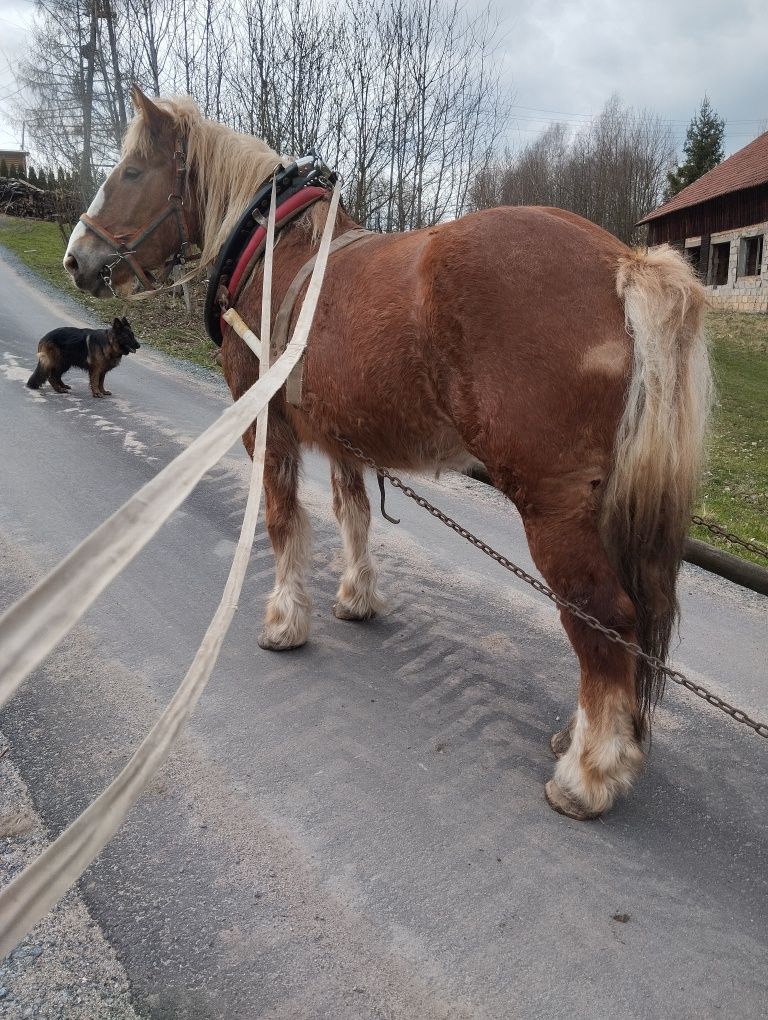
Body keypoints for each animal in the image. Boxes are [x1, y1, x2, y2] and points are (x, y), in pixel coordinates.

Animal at [62, 87, 709, 820]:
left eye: (131, 171)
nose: (77, 258)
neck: (276, 249)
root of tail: (625, 265)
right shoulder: (344, 434)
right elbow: (353, 515)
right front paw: (356, 597)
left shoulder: (267, 425)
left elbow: (283, 521)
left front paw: (286, 620)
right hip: (602, 501)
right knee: (630, 621)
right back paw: (597, 736)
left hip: (554, 502)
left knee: (604, 614)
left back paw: (589, 772)